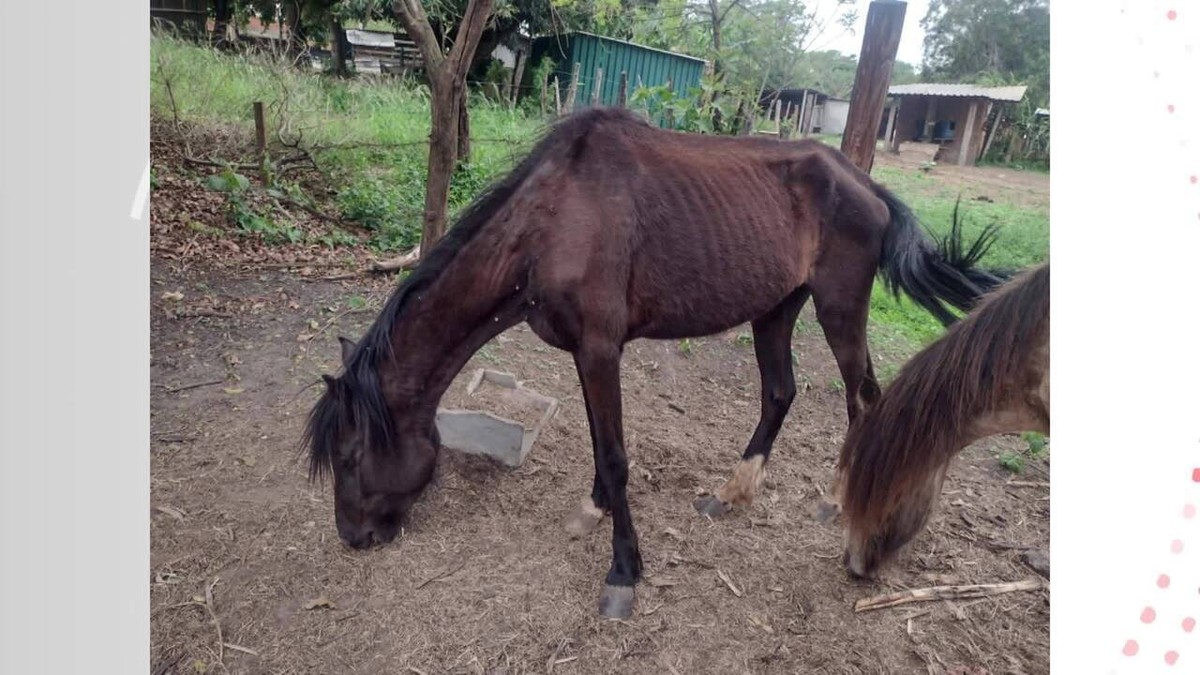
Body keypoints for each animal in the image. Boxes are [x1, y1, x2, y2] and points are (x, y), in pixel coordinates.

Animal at [302, 107, 1003, 619]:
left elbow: (616, 455)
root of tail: (866, 182)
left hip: (839, 307)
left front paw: (624, 574)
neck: (552, 222)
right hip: (776, 308)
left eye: (350, 456)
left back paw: (836, 500)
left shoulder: (600, 349)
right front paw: (593, 511)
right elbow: (598, 442)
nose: (353, 537)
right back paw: (731, 492)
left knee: (862, 396)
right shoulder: (585, 352)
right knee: (780, 392)